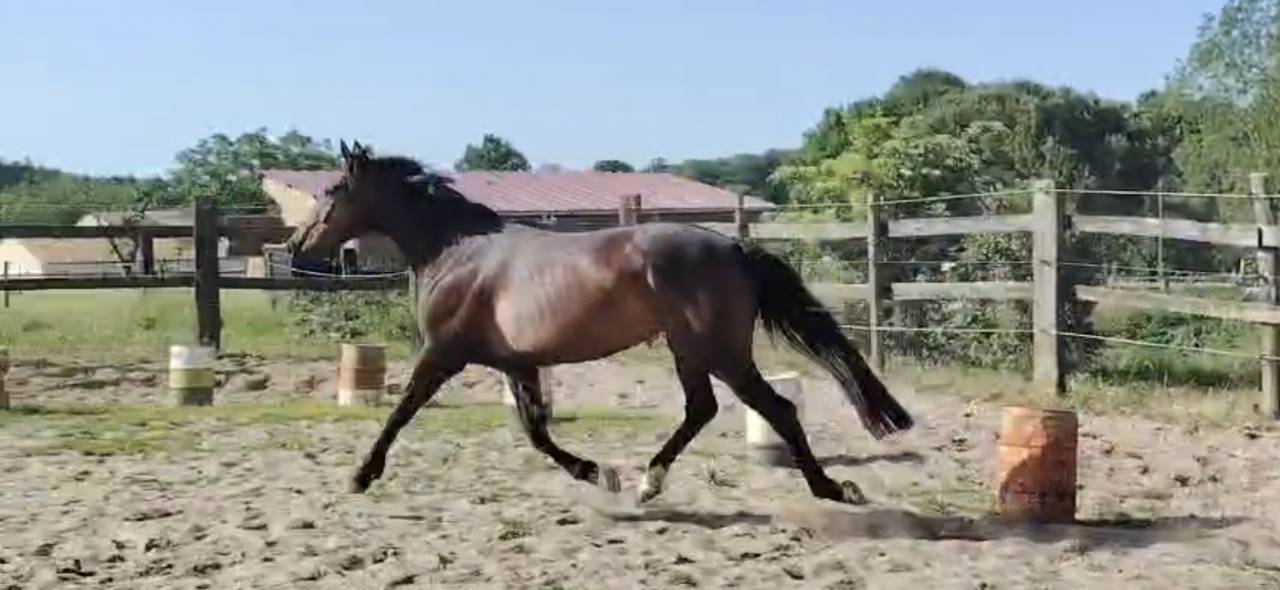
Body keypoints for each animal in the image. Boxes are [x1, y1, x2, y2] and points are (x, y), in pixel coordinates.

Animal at [286, 140, 915, 506]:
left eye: (334, 189)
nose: (298, 245)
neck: (458, 252)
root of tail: (733, 246)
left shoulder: (443, 353)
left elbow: (401, 410)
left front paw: (361, 475)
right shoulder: (518, 363)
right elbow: (536, 433)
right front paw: (596, 473)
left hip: (720, 352)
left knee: (776, 409)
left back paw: (830, 488)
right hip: (688, 349)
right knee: (702, 409)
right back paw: (646, 483)